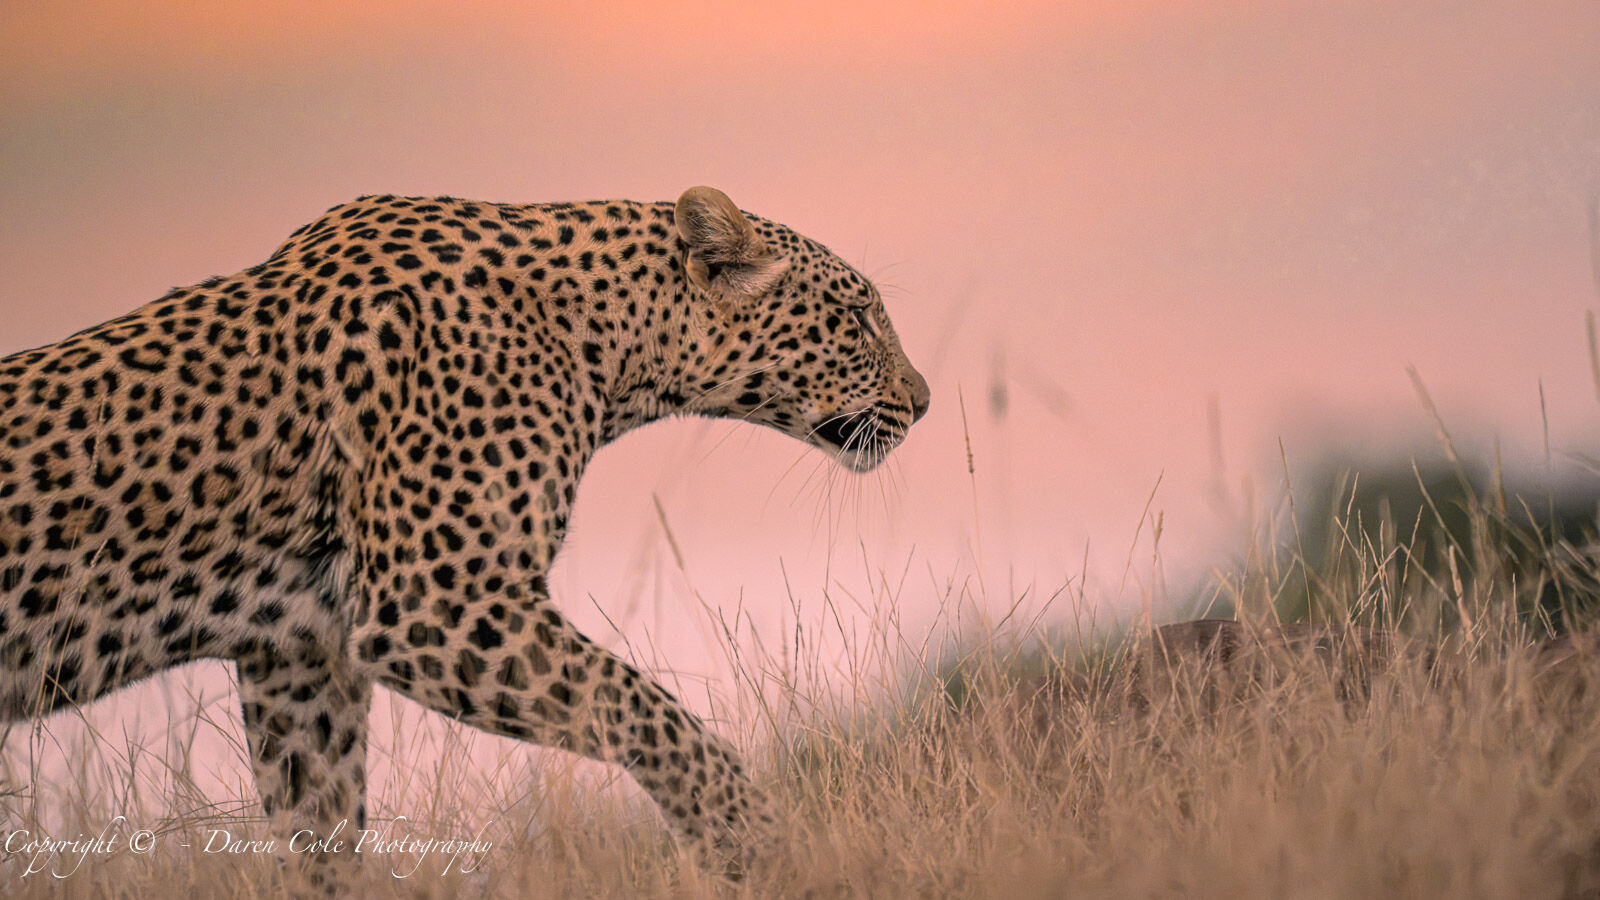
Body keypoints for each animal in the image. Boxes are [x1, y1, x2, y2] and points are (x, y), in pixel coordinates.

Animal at [0, 185, 929, 889]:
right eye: (858, 318)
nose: (922, 402)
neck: (608, 347)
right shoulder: (433, 604)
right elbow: (646, 708)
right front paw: (763, 844)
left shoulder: (300, 655)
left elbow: (320, 827)